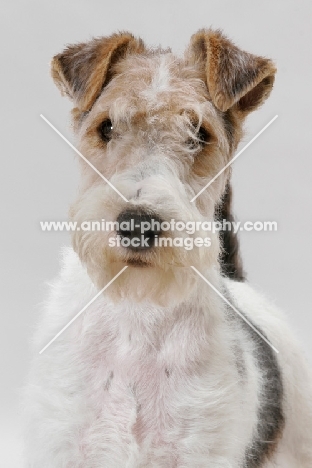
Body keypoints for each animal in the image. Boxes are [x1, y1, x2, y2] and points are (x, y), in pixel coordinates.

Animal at [23, 30, 312, 468]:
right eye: (107, 126)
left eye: (200, 134)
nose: (137, 225)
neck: (137, 312)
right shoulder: (60, 443)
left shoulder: (198, 450)